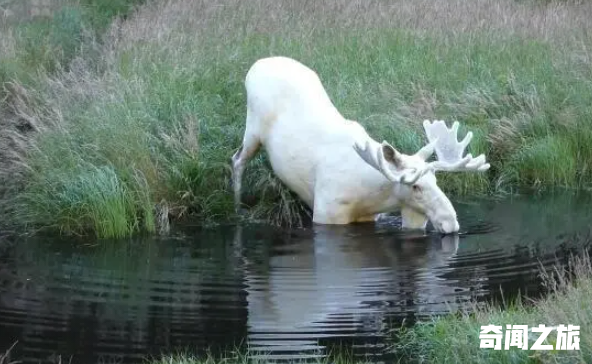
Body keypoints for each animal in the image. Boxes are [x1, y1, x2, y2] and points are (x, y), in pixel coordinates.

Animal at [231, 57, 490, 233]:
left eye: (436, 181)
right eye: (416, 187)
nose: (451, 222)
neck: (372, 197)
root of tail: (256, 65)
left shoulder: (367, 218)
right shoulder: (326, 212)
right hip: (252, 129)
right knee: (237, 160)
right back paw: (237, 206)